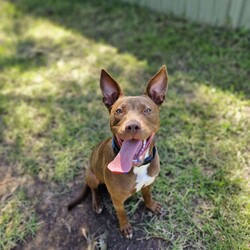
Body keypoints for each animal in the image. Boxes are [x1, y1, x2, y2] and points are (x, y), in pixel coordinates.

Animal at [69, 65, 168, 239]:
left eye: (147, 110)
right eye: (119, 111)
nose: (132, 126)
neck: (138, 166)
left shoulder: (148, 184)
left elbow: (147, 196)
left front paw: (151, 206)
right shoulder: (117, 199)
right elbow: (121, 214)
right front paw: (125, 227)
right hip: (92, 175)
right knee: (94, 189)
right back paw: (97, 203)